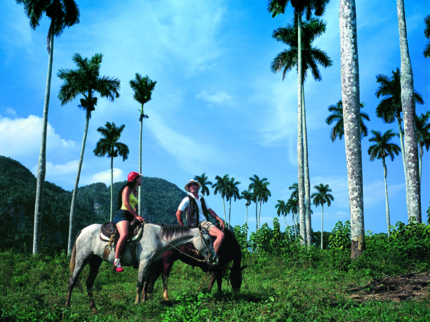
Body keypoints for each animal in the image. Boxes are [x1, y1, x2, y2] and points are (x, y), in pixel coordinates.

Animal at [64, 223, 218, 310]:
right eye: (208, 239)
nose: (215, 258)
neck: (158, 238)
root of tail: (82, 231)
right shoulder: (144, 263)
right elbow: (139, 283)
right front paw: (137, 304)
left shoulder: (150, 264)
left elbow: (145, 284)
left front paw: (144, 302)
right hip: (82, 259)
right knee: (72, 281)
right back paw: (67, 306)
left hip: (95, 261)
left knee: (89, 283)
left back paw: (94, 308)